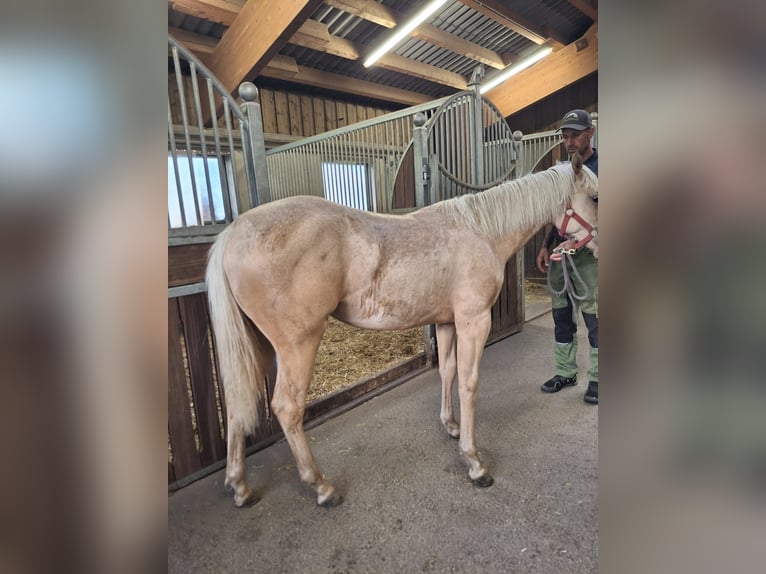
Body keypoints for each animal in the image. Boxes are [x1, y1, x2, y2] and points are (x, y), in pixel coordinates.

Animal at [206, 153, 598, 508]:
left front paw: (451, 426)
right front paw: (473, 462)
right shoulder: (474, 321)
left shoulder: (446, 322)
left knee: (236, 400)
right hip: (297, 344)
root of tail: (234, 232)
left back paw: (239, 486)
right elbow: (469, 384)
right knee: (288, 408)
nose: (597, 243)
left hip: (255, 343)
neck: (480, 232)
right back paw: (322, 488)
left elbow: (447, 371)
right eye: (594, 197)